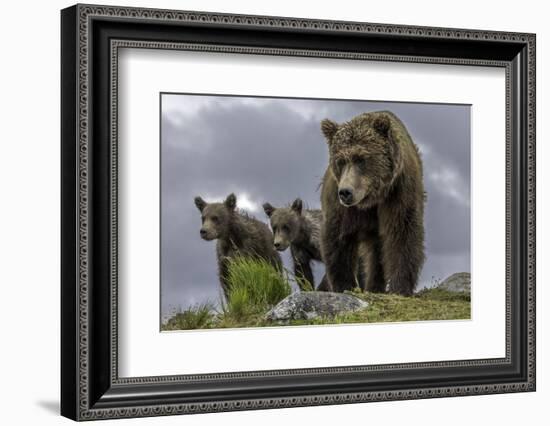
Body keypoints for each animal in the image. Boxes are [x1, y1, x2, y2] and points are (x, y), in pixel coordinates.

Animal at [322, 110, 430, 296]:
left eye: (361, 159)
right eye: (340, 161)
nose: (345, 192)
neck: (371, 199)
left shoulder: (398, 193)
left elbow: (403, 234)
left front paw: (400, 287)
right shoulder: (340, 204)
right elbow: (338, 239)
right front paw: (344, 285)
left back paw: (375, 286)